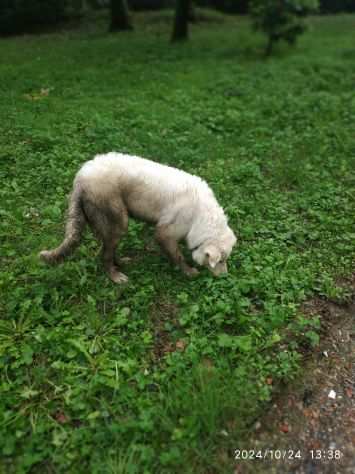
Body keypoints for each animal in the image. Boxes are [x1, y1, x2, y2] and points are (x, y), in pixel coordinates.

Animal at [39, 154, 236, 284]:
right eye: (220, 261)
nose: (226, 276)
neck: (201, 215)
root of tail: (80, 177)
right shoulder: (164, 234)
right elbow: (178, 256)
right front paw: (188, 272)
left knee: (108, 250)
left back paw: (121, 263)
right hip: (118, 222)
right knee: (105, 255)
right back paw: (115, 276)